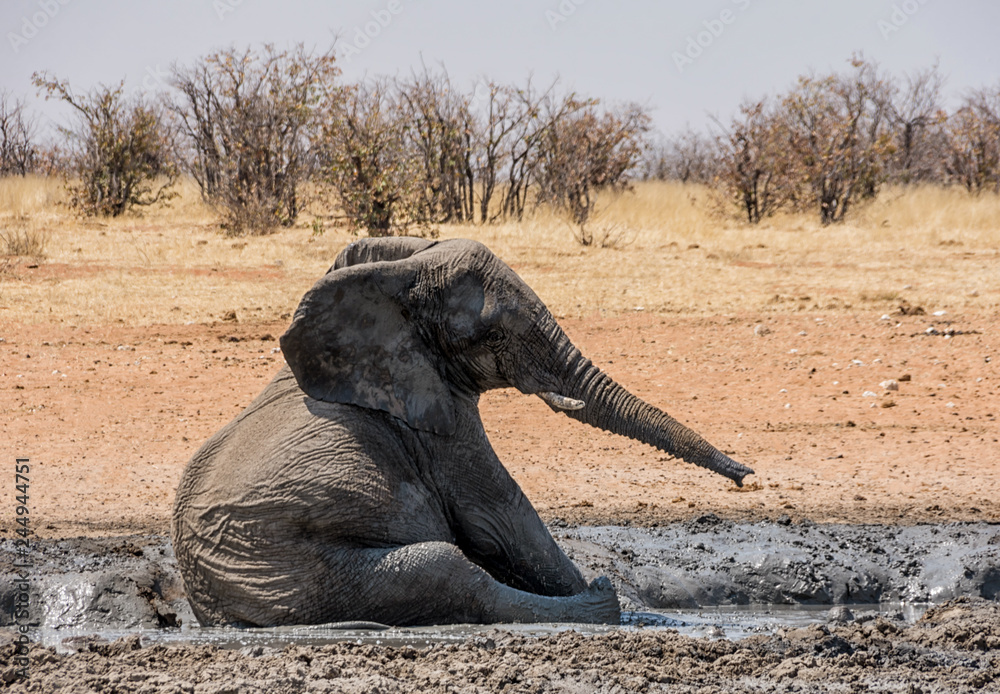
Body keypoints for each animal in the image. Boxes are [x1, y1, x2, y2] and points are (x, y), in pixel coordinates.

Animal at [172, 237, 753, 628]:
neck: (397, 276)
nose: (747, 476)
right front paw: (623, 606)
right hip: (301, 575)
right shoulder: (439, 425)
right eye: (493, 335)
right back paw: (601, 602)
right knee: (446, 570)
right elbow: (502, 520)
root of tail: (216, 614)